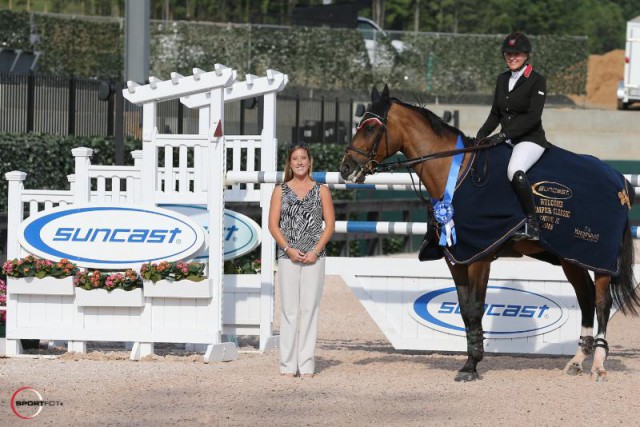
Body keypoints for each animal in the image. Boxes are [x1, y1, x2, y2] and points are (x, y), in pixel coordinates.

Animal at [340, 85, 640, 382]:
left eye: (370, 127)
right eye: (359, 124)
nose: (346, 168)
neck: (455, 174)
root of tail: (619, 180)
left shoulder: (480, 256)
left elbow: (475, 308)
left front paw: (472, 365)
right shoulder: (456, 258)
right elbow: (464, 310)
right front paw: (469, 362)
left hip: (598, 255)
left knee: (601, 302)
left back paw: (598, 365)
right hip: (571, 256)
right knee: (585, 298)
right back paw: (577, 361)